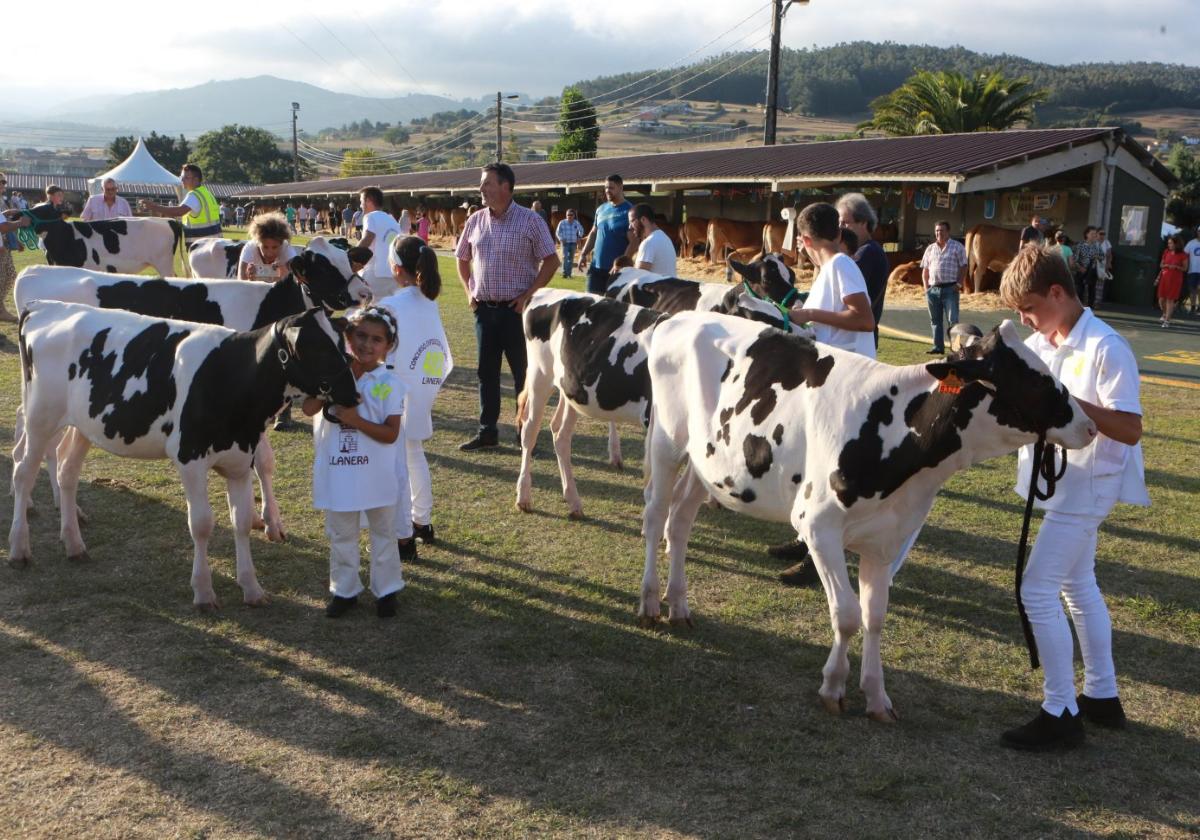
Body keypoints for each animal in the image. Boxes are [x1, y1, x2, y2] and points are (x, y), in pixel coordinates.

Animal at [10, 302, 355, 609]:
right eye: (318, 348)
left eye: (342, 345)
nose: (353, 394)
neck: (232, 377)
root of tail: (43, 307)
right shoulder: (190, 459)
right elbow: (201, 524)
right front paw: (203, 592)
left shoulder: (240, 462)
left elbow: (242, 521)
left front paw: (252, 588)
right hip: (40, 418)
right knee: (23, 472)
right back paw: (19, 549)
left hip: (84, 425)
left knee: (67, 472)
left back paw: (74, 544)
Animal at [12, 236, 369, 542]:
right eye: (322, 267)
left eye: (349, 259)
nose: (363, 293)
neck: (265, 307)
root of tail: (35, 274)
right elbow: (263, 460)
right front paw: (270, 521)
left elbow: (262, 462)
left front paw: (260, 518)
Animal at [643, 314, 1099, 720]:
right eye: (1033, 379)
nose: (1092, 427)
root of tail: (679, 317)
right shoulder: (817, 526)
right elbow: (845, 615)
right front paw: (832, 687)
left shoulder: (886, 540)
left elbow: (874, 616)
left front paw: (877, 697)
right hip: (666, 441)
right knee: (655, 516)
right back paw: (649, 603)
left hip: (709, 464)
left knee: (679, 521)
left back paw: (678, 606)